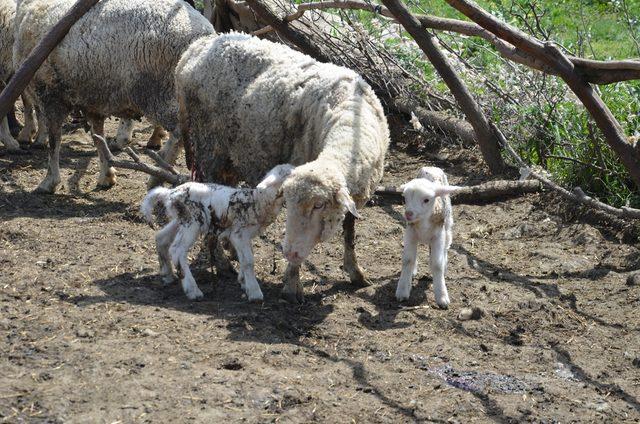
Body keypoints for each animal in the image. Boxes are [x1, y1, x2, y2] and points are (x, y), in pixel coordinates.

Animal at [13, 0, 214, 192]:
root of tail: (203, 33)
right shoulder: (92, 101)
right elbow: (98, 138)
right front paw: (107, 176)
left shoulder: (49, 93)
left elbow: (55, 141)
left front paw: (49, 181)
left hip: (162, 93)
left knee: (180, 134)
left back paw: (156, 175)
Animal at [141, 163, 294, 302]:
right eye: (290, 175)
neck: (258, 201)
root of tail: (169, 194)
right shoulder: (239, 233)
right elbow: (249, 261)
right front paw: (254, 292)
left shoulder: (242, 236)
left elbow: (243, 258)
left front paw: (243, 282)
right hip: (192, 221)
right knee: (177, 250)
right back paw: (193, 290)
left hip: (180, 220)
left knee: (161, 238)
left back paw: (167, 275)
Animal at [172, 33, 390, 304]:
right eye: (288, 202)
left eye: (319, 205)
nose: (290, 252)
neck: (351, 124)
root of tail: (194, 49)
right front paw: (292, 285)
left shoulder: (355, 197)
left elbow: (349, 233)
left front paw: (355, 272)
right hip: (208, 147)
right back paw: (222, 263)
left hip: (229, 158)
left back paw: (229, 249)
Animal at [396, 167, 460, 310]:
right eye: (405, 198)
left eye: (426, 200)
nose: (408, 214)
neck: (423, 224)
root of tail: (431, 167)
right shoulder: (410, 233)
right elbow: (408, 260)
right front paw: (402, 290)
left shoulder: (438, 236)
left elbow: (437, 264)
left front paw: (442, 297)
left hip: (447, 225)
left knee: (446, 247)